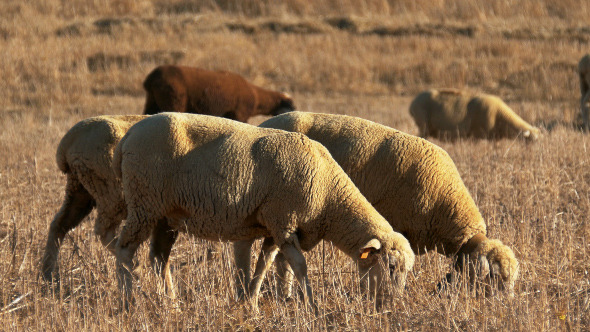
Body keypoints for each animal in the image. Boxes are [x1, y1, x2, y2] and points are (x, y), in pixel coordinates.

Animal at [112, 112, 416, 312]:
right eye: (390, 266)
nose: (393, 307)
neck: (329, 196)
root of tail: (127, 138)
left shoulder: (272, 227)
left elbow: (264, 264)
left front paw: (252, 303)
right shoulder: (283, 220)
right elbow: (300, 265)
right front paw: (313, 306)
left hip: (166, 214)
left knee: (159, 259)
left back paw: (171, 304)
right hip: (144, 203)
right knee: (124, 250)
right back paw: (128, 303)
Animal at [142, 65, 298, 122]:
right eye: (290, 105)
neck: (256, 97)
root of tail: (152, 77)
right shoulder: (239, 114)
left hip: (152, 101)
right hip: (173, 101)